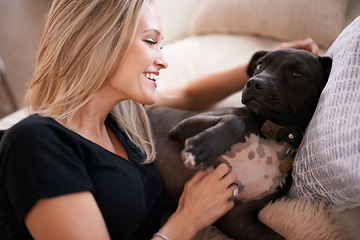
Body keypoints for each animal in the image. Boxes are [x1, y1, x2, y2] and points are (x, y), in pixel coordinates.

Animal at [146, 49, 332, 240]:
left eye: (297, 74)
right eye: (260, 64)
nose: (255, 83)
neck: (273, 132)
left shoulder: (238, 217)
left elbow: (278, 237)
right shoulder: (184, 125)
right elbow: (236, 121)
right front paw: (202, 149)